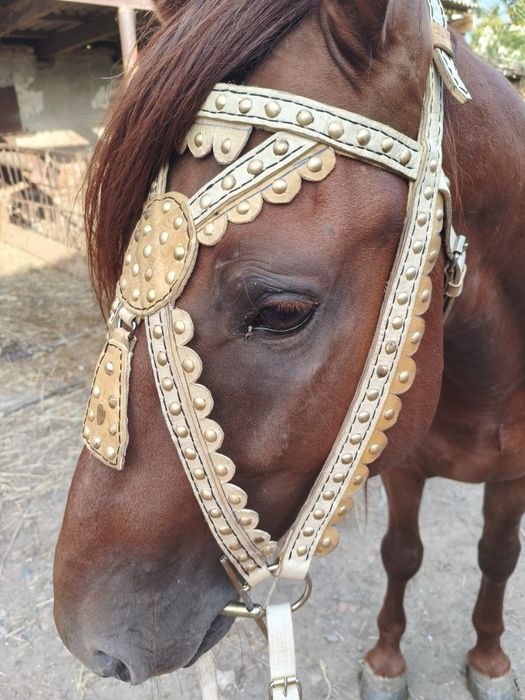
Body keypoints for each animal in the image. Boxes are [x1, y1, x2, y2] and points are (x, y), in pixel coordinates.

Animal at [52, 0, 525, 698]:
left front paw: (490, 661)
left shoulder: (508, 472)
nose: (87, 639)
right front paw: (387, 661)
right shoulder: (402, 458)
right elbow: (402, 554)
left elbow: (497, 556)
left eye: (281, 312)